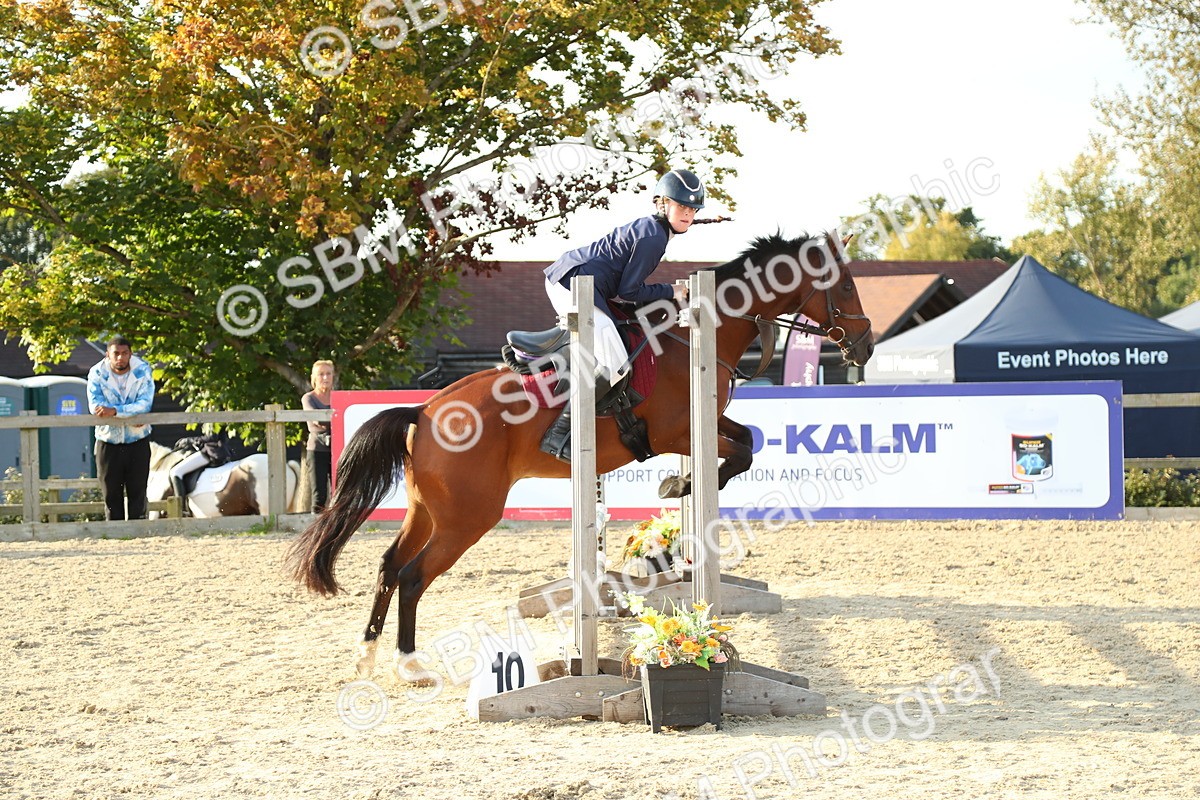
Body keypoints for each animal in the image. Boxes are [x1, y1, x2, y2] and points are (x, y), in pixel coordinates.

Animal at [287, 232, 874, 677]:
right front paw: (680, 485)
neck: (695, 336)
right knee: (411, 576)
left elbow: (749, 439)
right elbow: (738, 454)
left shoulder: (706, 423)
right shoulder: (676, 435)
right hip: (467, 517)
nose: (864, 347)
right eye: (846, 285)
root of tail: (424, 411)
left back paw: (370, 658)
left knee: (389, 567)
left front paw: (682, 486)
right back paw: (410, 665)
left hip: (426, 509)